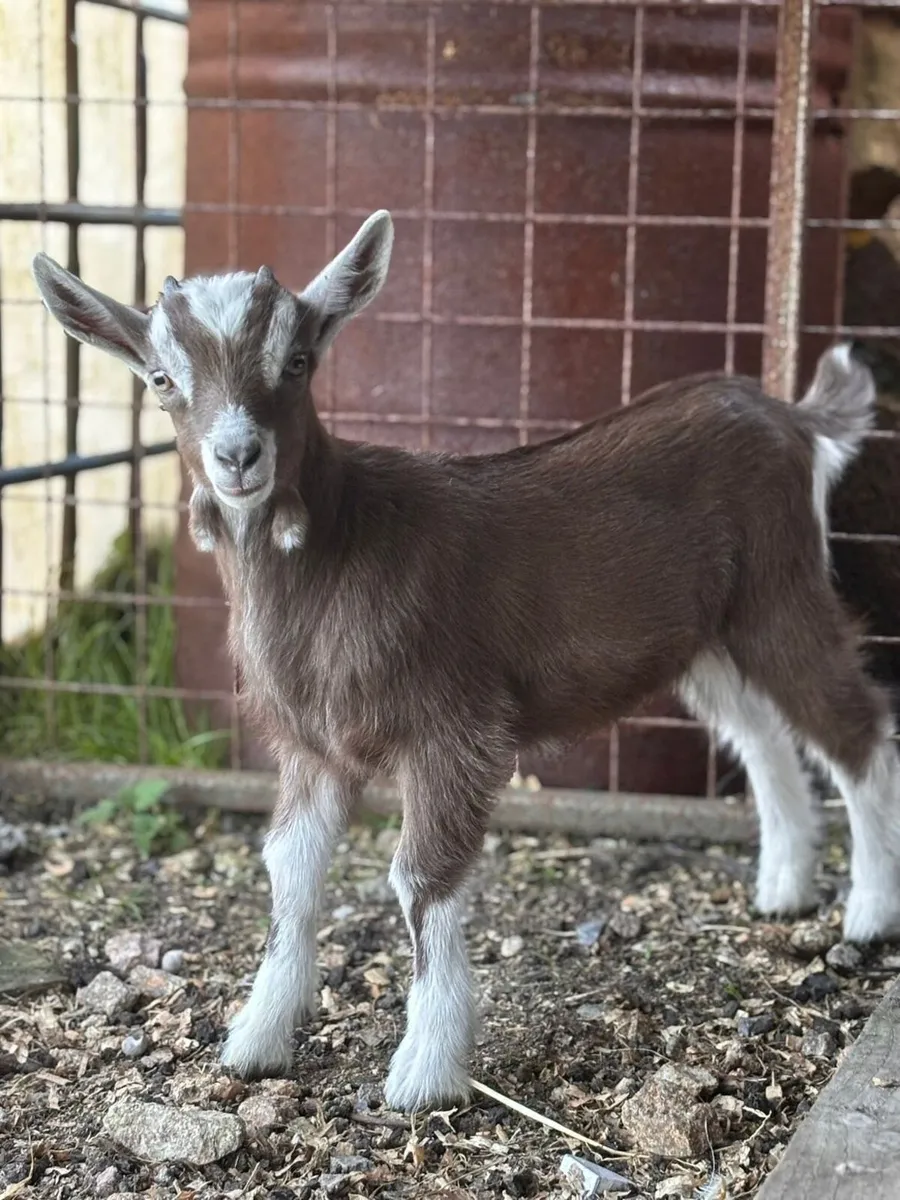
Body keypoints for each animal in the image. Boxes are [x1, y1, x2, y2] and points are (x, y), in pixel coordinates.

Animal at [32, 210, 900, 1113]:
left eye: (298, 362)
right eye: (161, 377)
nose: (238, 456)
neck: (341, 545)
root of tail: (790, 420)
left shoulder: (453, 730)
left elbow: (422, 880)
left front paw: (424, 1074)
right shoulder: (310, 746)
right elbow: (290, 874)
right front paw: (256, 1041)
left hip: (780, 589)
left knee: (854, 724)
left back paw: (870, 912)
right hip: (707, 637)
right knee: (762, 733)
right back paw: (784, 889)